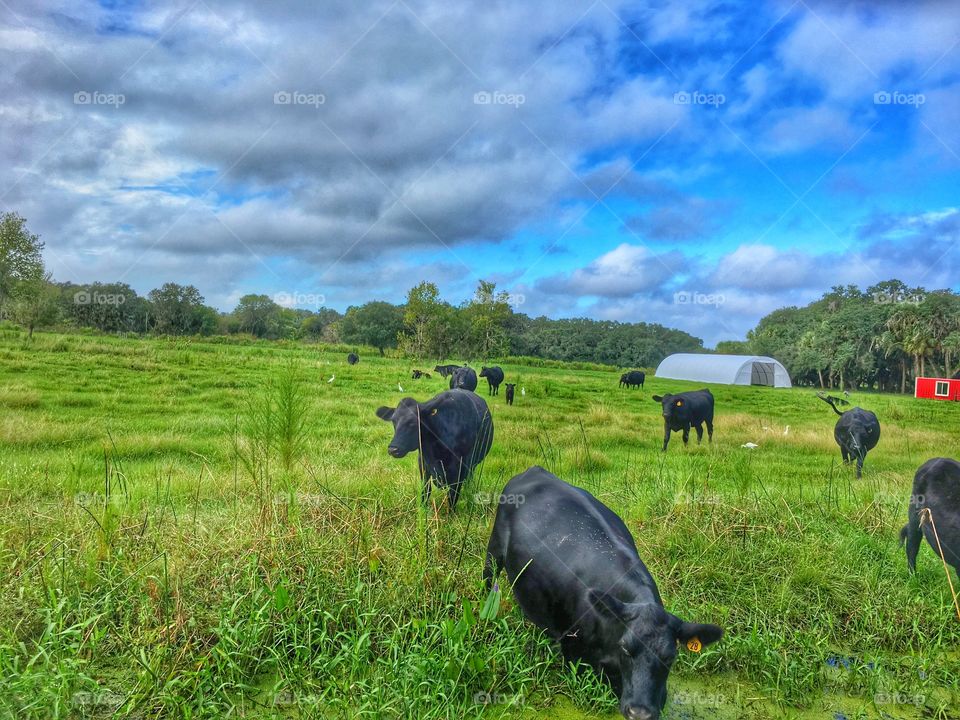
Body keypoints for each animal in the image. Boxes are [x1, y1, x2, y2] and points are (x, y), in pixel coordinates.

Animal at [484, 466, 724, 720]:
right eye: (626, 648)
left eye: (670, 657)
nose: (640, 713)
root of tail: (534, 470)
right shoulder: (572, 650)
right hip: (494, 550)